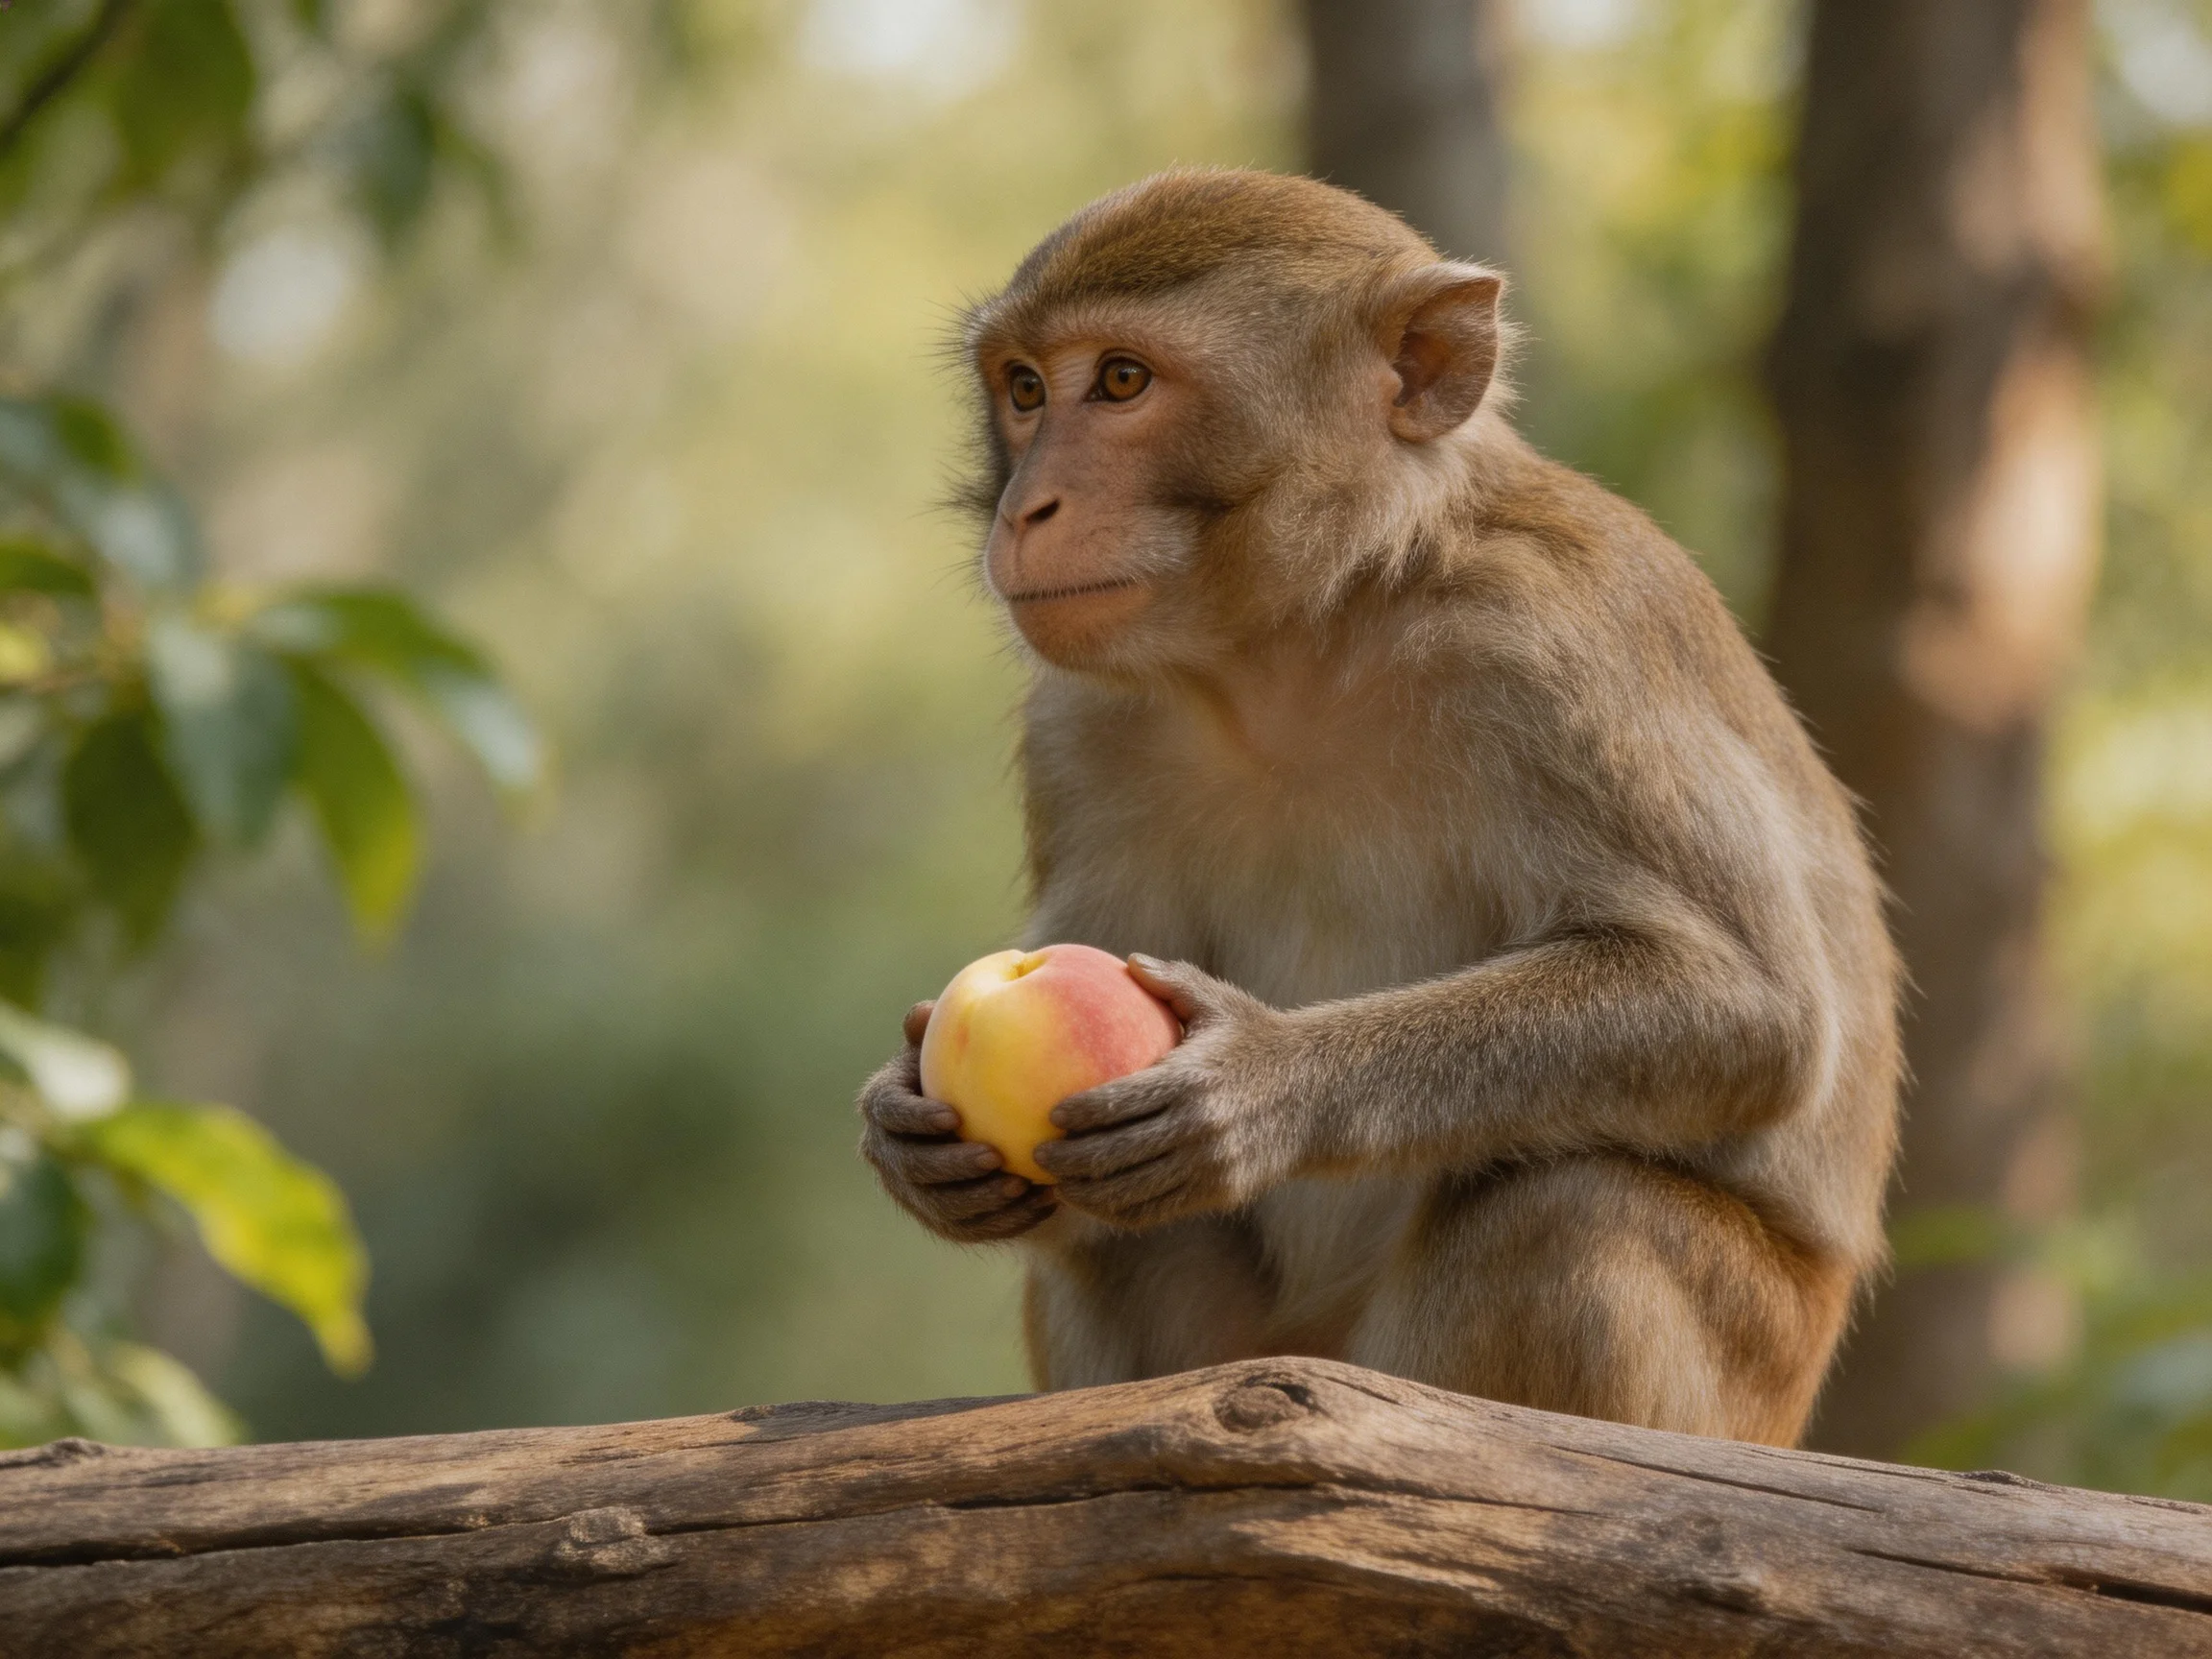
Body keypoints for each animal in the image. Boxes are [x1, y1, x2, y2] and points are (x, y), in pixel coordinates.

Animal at [858, 169, 1901, 1447]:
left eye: (1121, 381)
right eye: (1023, 389)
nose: (1028, 508)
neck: (1306, 637)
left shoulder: (1549, 641)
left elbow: (1746, 1004)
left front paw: (1263, 1080)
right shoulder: (1078, 727)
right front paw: (901, 1126)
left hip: (1736, 1381)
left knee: (1567, 1207)